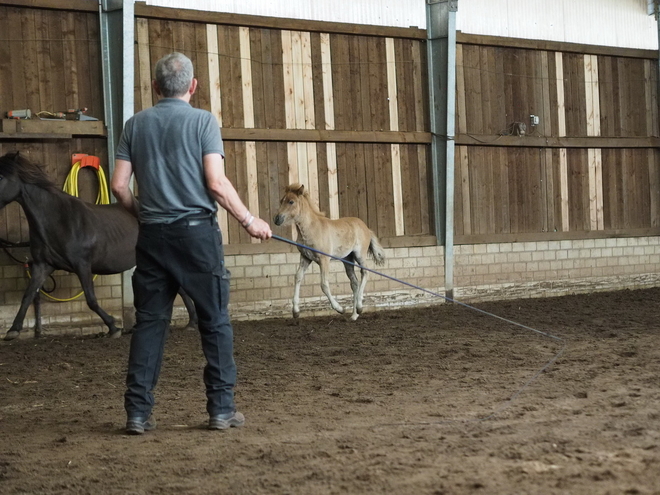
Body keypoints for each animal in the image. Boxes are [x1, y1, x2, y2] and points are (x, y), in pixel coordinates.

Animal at [0, 152, 196, 340]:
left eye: (1, 176)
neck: (59, 220)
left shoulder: (82, 265)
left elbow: (91, 300)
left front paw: (113, 327)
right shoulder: (43, 265)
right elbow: (27, 296)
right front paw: (13, 330)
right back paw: (190, 323)